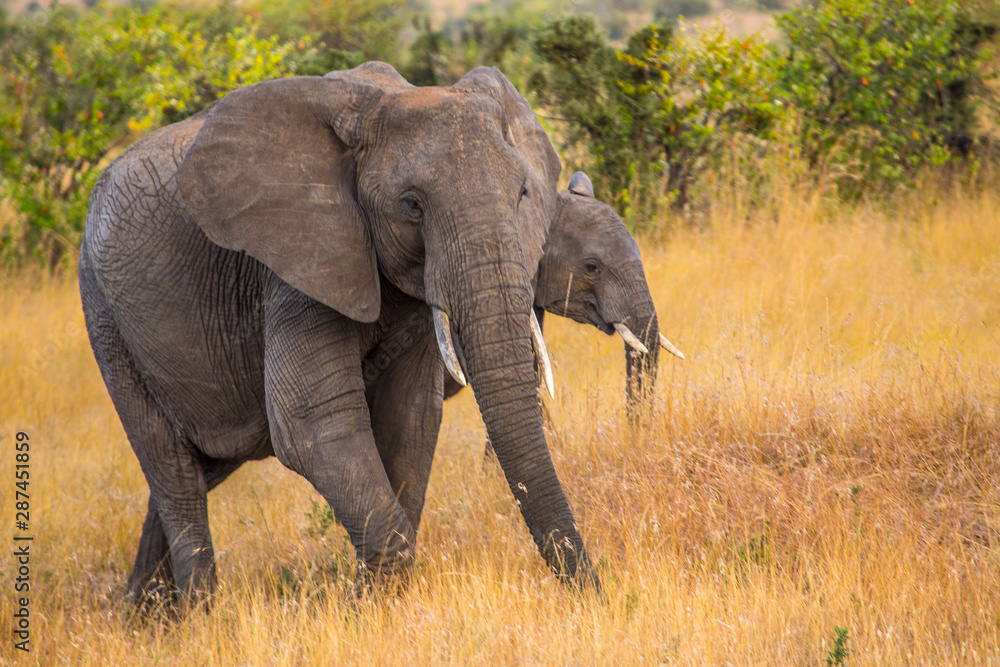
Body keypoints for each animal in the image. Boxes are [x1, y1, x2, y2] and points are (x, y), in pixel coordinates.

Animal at [80, 61, 600, 604]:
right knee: (173, 469)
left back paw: (146, 612)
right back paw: (200, 614)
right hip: (106, 318)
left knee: (198, 471)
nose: (594, 592)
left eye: (522, 194)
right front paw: (364, 605)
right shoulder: (295, 264)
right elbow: (310, 422)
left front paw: (371, 601)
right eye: (412, 205)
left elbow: (411, 415)